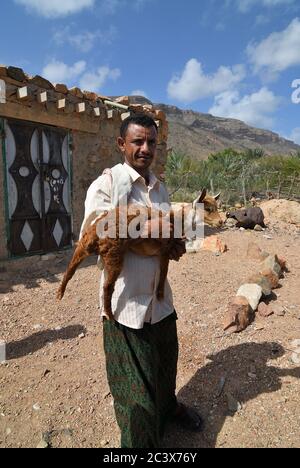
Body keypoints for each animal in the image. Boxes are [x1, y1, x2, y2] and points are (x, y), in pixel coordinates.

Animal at [57, 188, 221, 320]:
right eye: (208, 209)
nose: (221, 222)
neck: (180, 221)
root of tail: (96, 232)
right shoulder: (165, 249)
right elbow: (163, 271)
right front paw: (160, 295)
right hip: (114, 253)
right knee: (107, 287)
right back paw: (109, 315)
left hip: (84, 245)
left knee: (70, 268)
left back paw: (59, 293)